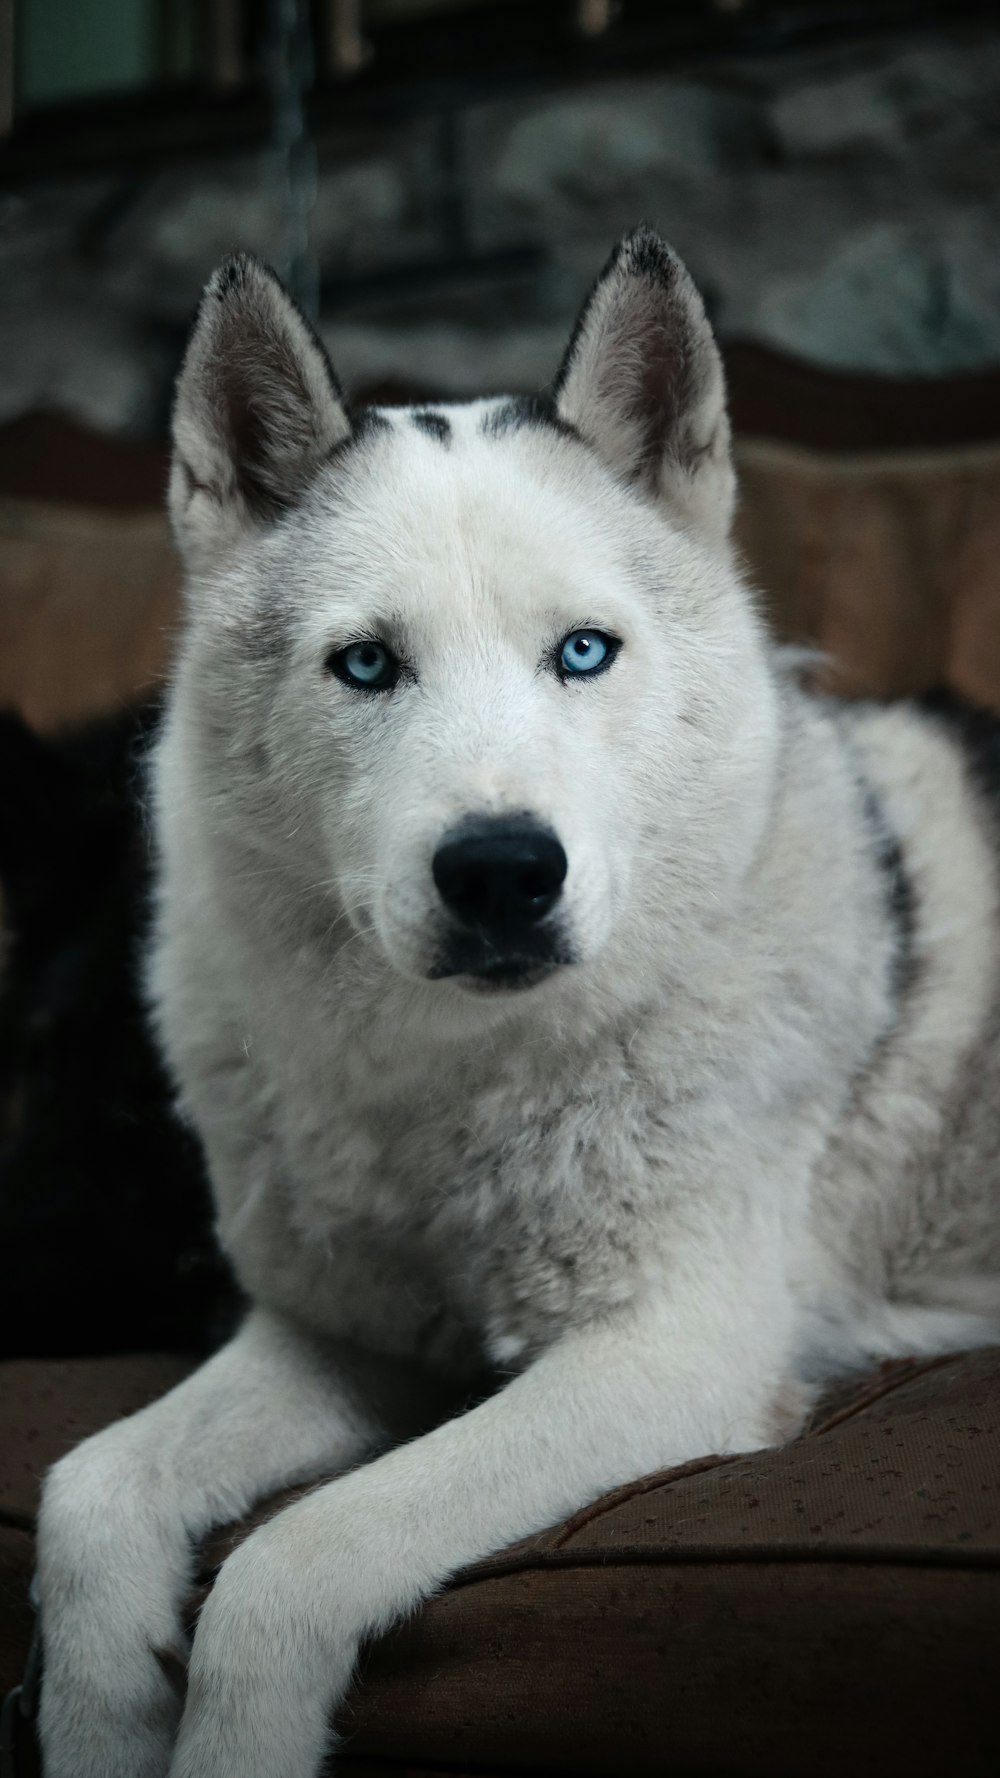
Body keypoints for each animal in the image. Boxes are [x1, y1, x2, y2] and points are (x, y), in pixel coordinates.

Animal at [33, 229, 996, 1770]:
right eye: (367, 662)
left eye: (583, 652)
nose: (499, 872)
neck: (464, 1077)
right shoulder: (341, 1340)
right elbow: (87, 1491)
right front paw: (102, 1716)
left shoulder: (664, 1357)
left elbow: (290, 1557)